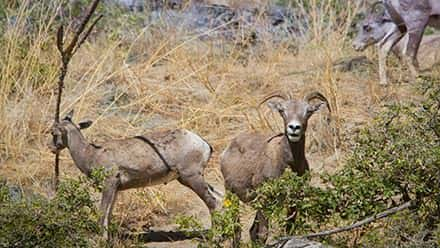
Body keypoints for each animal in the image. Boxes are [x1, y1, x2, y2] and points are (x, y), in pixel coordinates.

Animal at [49, 110, 220, 238]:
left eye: (53, 132)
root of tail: (204, 144)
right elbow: (109, 215)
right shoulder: (115, 189)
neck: (90, 154)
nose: (51, 148)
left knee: (212, 202)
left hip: (191, 178)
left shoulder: (109, 184)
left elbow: (103, 213)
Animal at [220, 92, 330, 245]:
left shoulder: (294, 199)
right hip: (232, 194)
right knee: (237, 231)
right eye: (282, 110)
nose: (294, 128)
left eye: (308, 111)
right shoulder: (264, 198)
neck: (288, 163)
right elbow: (263, 233)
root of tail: (227, 150)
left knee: (251, 231)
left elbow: (289, 228)